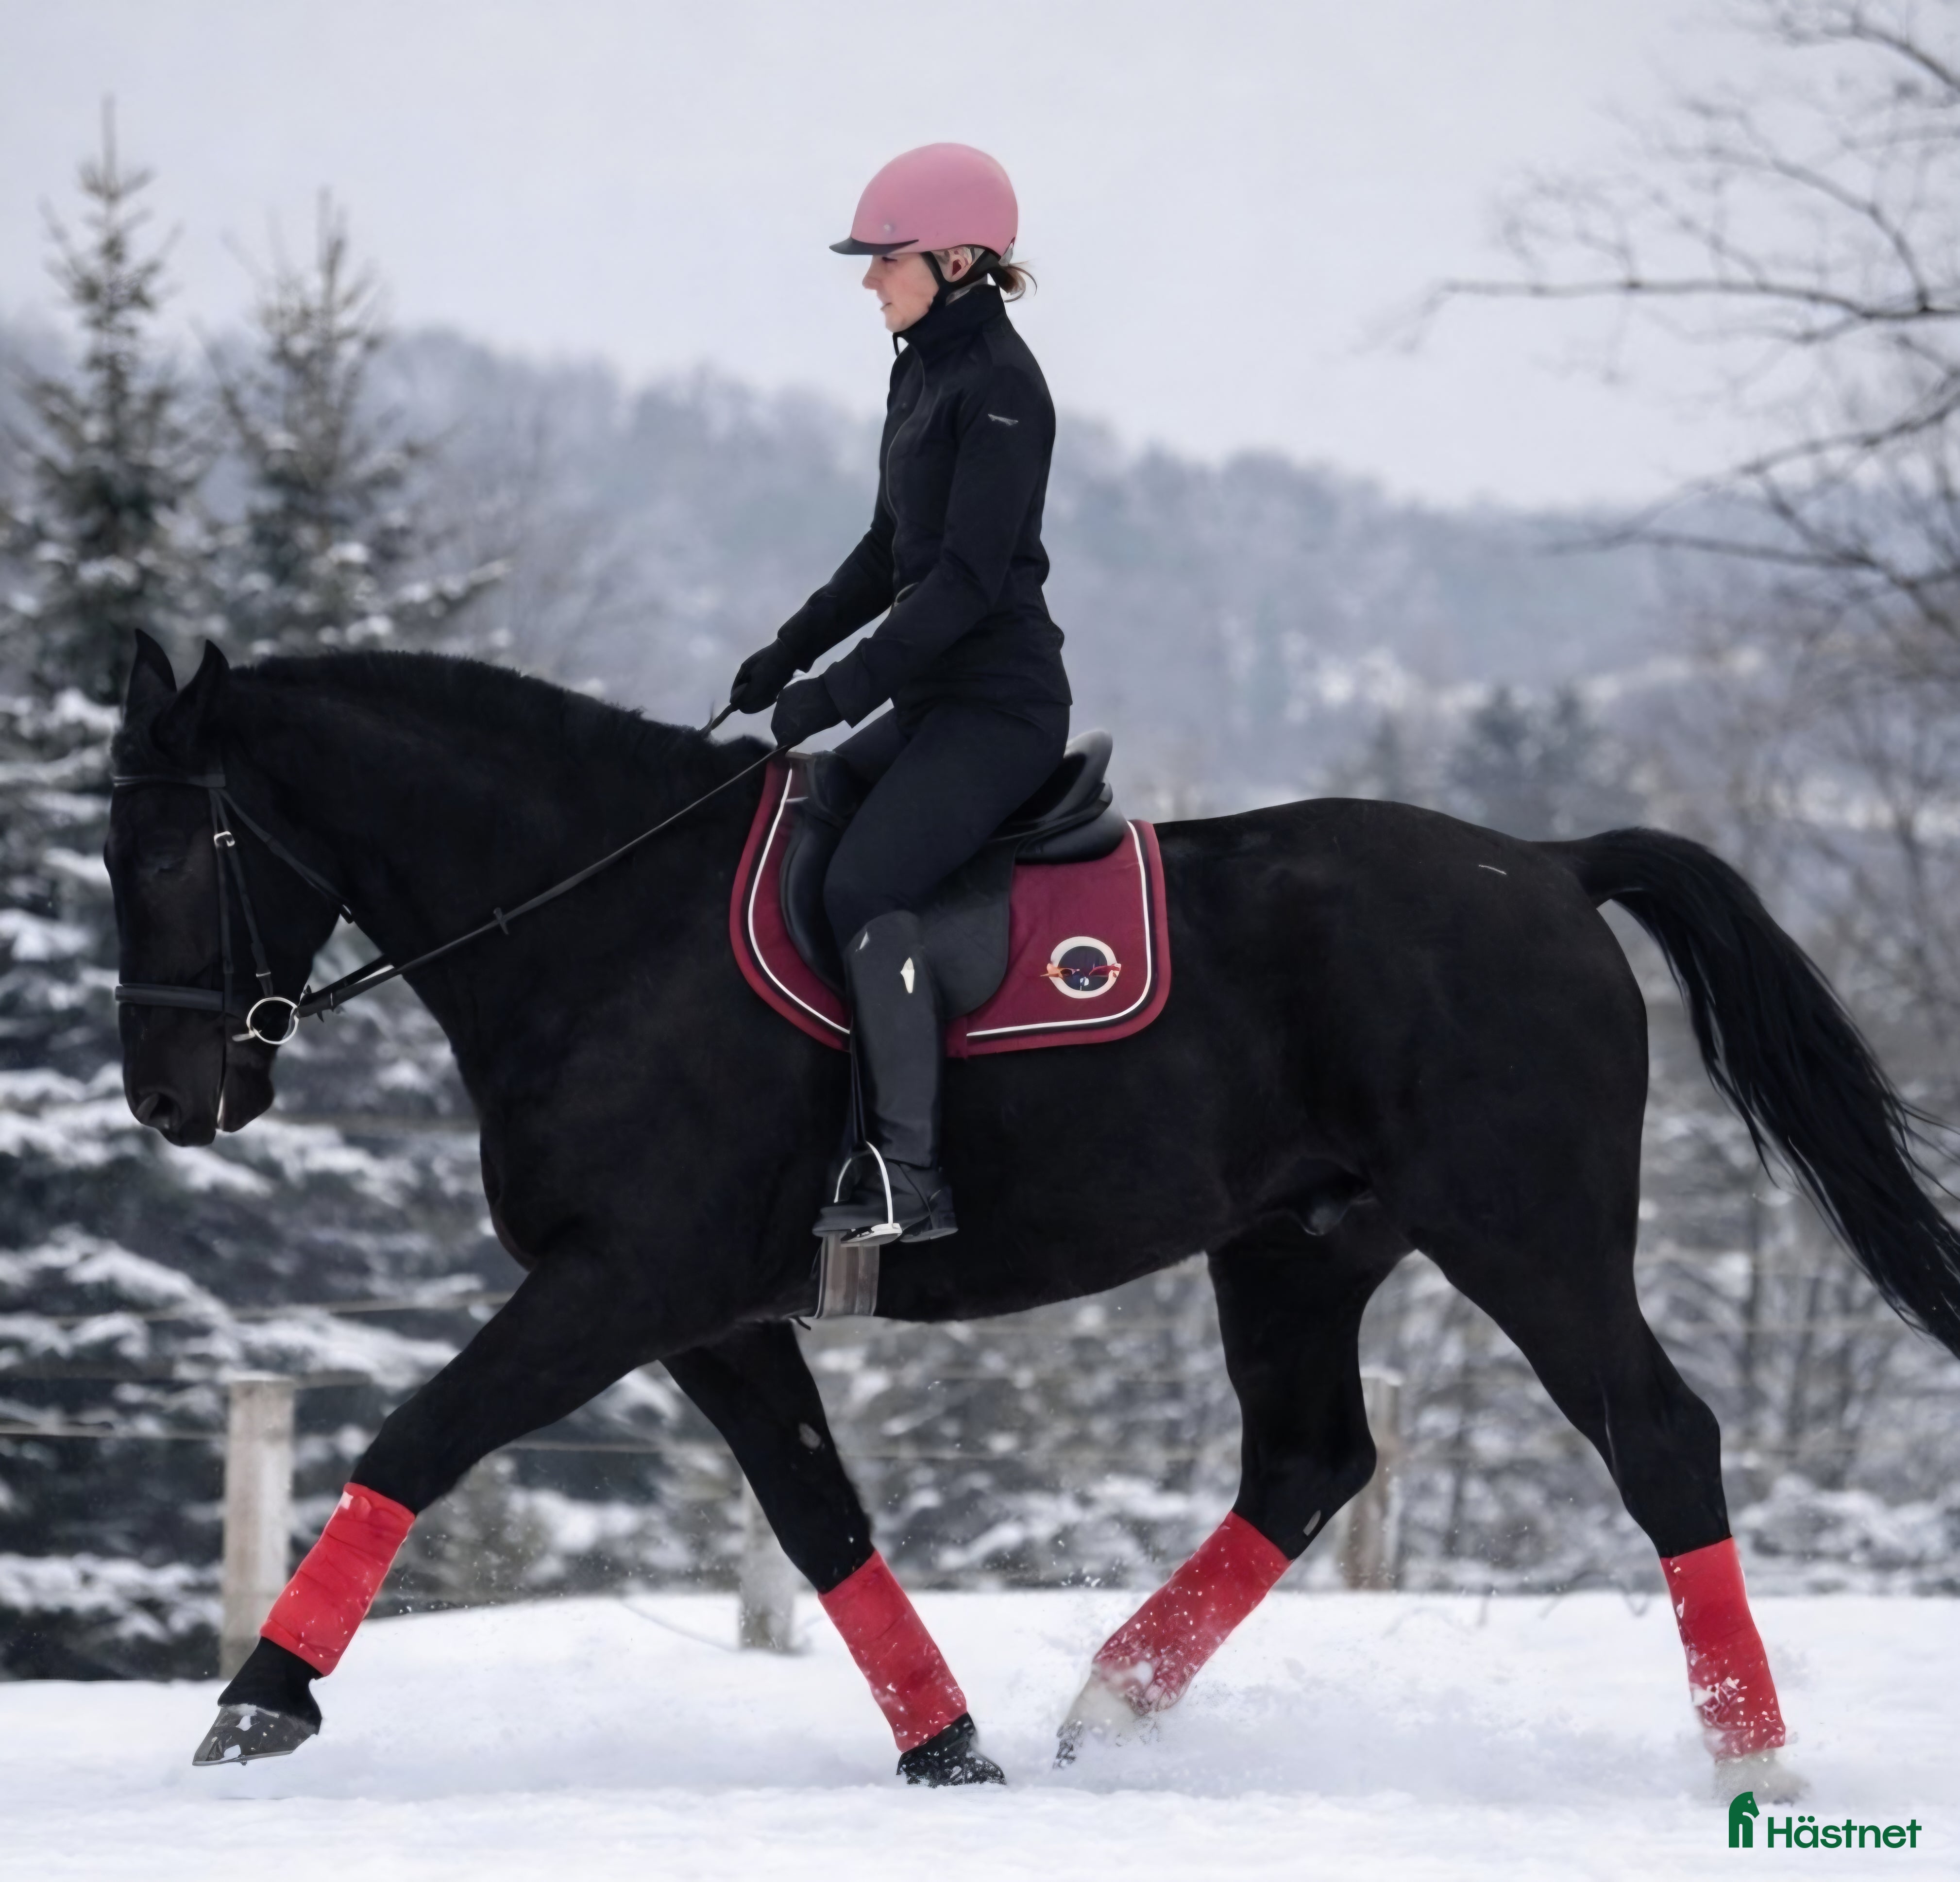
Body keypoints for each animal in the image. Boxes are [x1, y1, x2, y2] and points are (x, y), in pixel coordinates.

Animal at [105, 630, 1960, 1792]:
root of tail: (1553, 868)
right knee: (1306, 1464)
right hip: (1297, 1249)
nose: (170, 1102)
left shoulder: (619, 1281)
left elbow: (417, 1439)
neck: (603, 922)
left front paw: (255, 1708)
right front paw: (948, 1747)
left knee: (1656, 1435)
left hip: (1523, 1227)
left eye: (174, 851)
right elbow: (819, 1515)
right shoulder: (710, 1310)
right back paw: (1104, 1711)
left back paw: (1748, 1756)